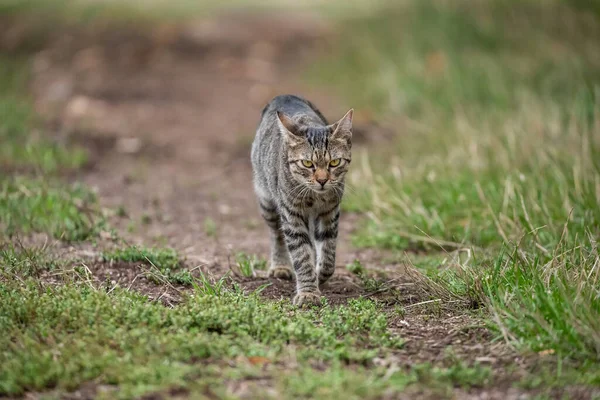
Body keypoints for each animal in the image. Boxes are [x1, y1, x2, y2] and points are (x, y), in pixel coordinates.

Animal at [250, 95, 352, 308]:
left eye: (334, 163)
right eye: (307, 163)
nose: (322, 180)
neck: (314, 197)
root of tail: (285, 96)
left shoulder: (330, 212)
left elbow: (328, 254)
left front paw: (319, 274)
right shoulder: (292, 215)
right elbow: (301, 255)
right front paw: (308, 293)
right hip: (267, 201)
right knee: (276, 234)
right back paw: (280, 265)